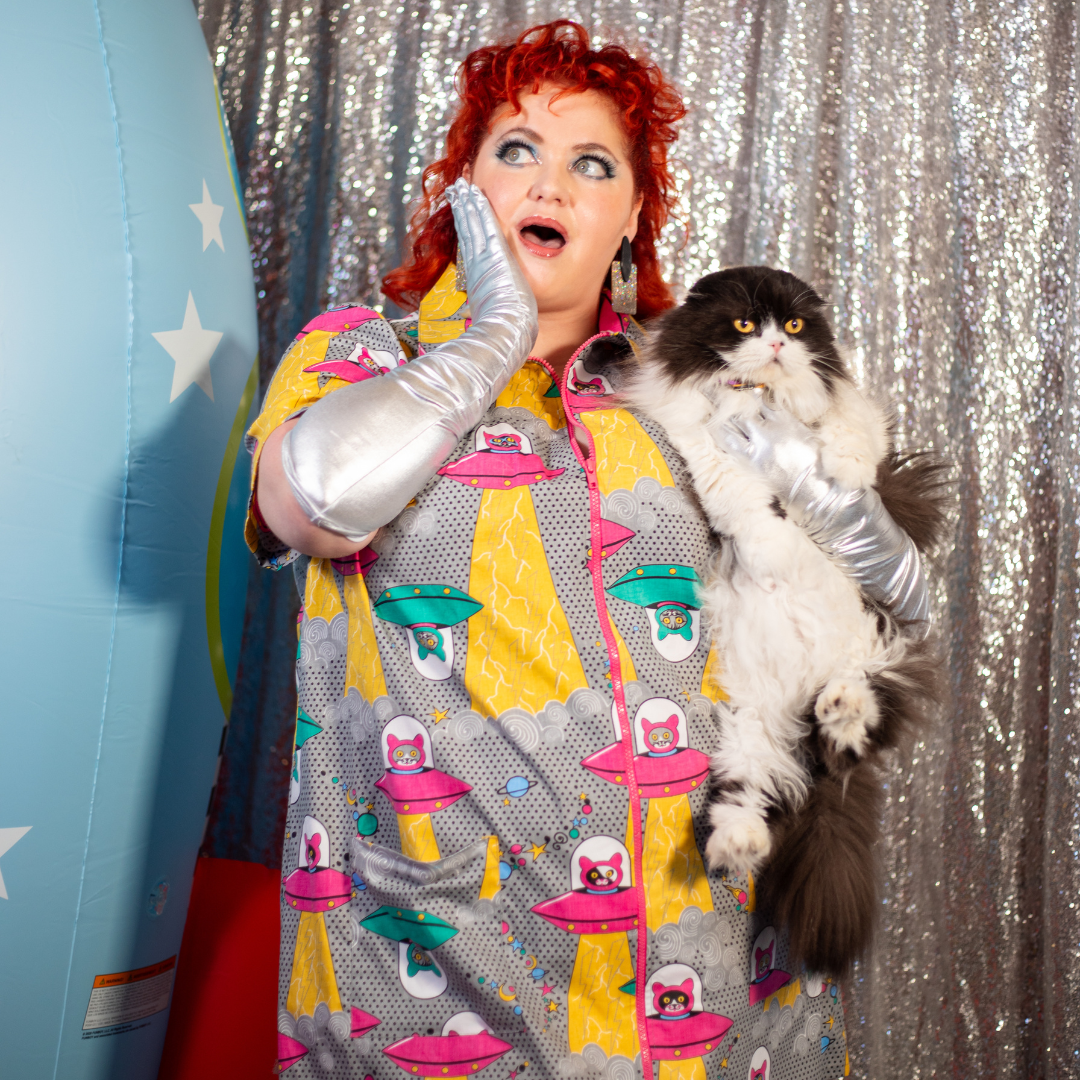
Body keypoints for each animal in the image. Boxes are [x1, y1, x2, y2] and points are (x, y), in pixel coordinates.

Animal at [626, 265, 946, 976]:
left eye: (795, 326)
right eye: (746, 323)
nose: (775, 343)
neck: (760, 396)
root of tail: (804, 711)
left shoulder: (862, 430)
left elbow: (849, 432)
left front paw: (835, 474)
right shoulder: (695, 431)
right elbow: (738, 496)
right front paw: (770, 544)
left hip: (884, 651)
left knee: (863, 713)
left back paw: (843, 714)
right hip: (750, 734)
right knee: (750, 796)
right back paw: (738, 844)